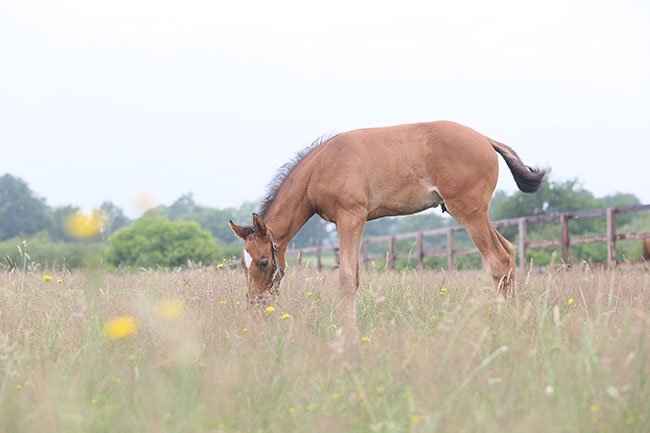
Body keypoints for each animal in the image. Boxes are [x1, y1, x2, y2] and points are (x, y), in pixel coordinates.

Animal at [229, 120, 547, 337]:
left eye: (262, 262)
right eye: (243, 265)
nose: (255, 304)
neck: (319, 168)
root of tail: (485, 139)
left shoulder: (351, 217)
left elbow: (347, 278)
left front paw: (349, 335)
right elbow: (355, 276)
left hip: (469, 212)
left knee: (498, 259)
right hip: (478, 213)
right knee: (509, 251)